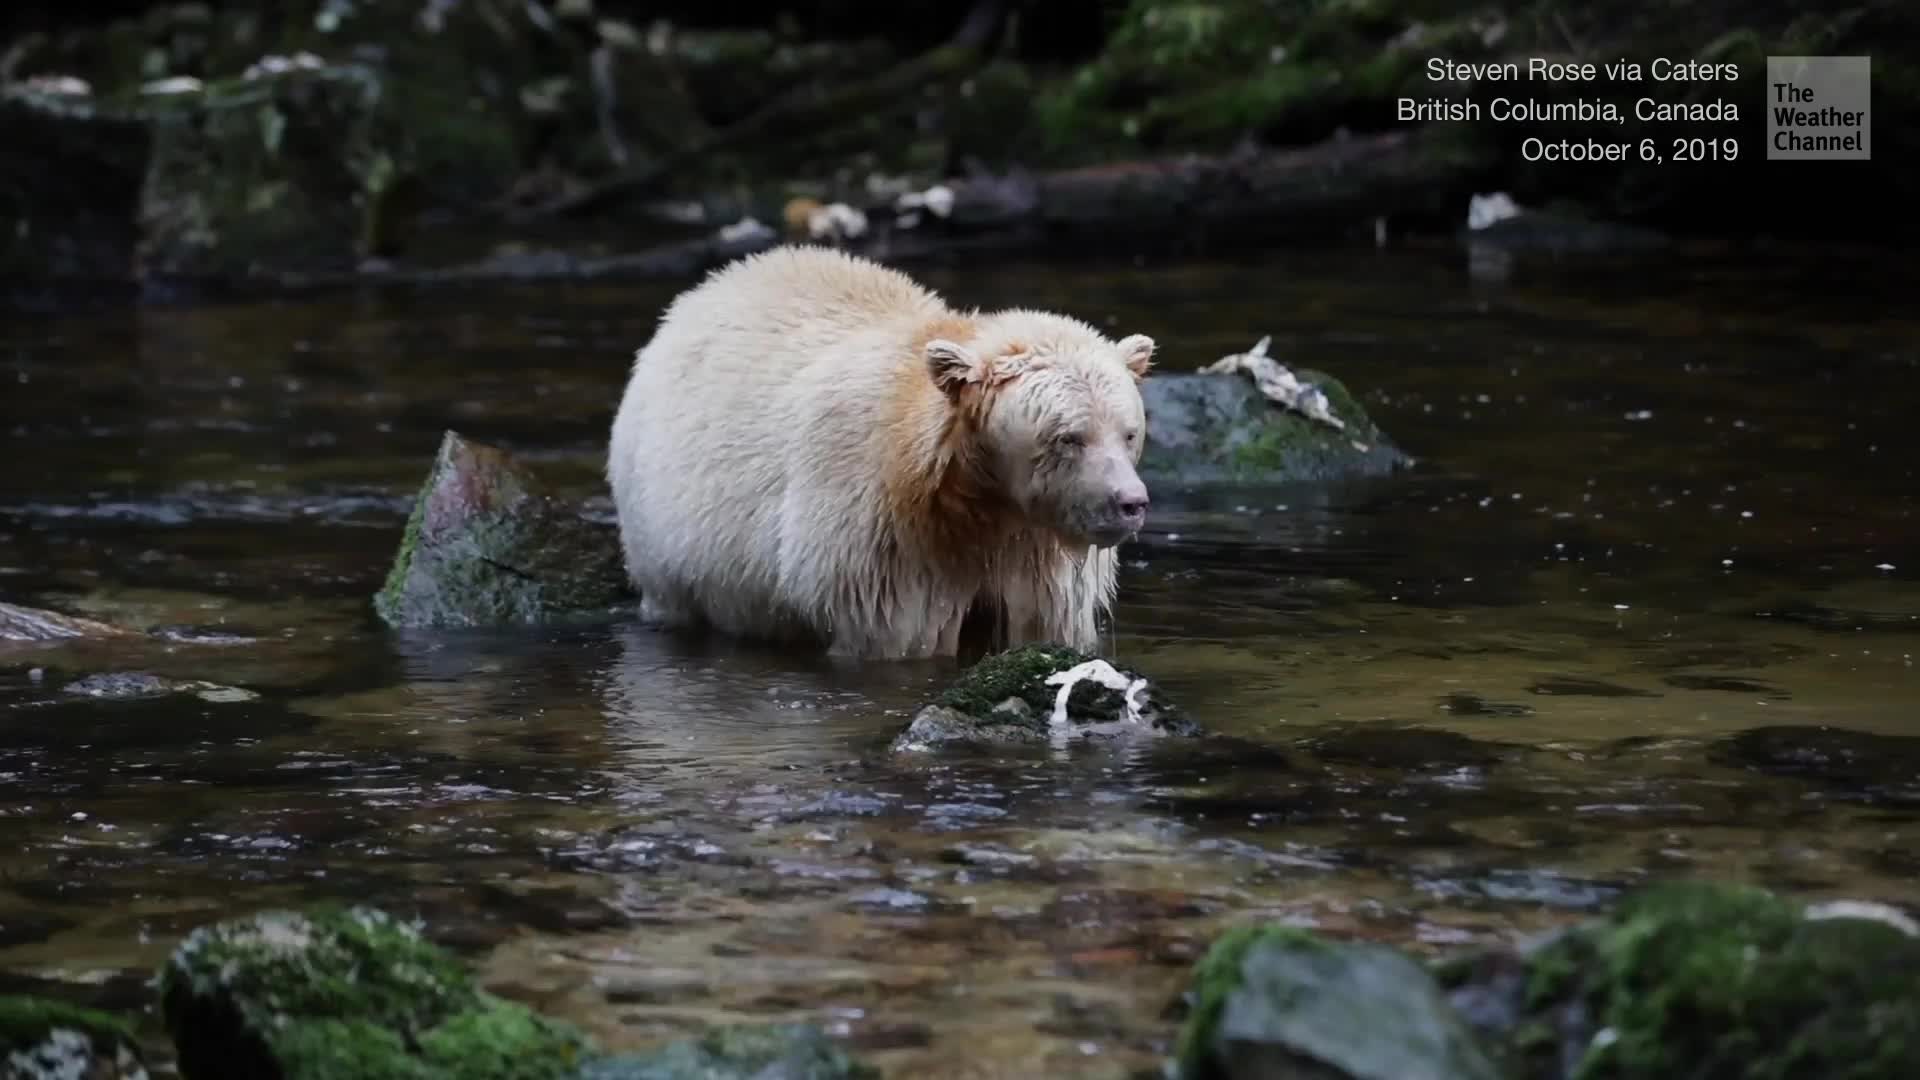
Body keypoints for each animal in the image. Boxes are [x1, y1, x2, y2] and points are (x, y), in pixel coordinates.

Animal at [605, 244, 1155, 660]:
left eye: (1128, 433)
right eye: (1070, 437)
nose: (1130, 503)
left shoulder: (1033, 553)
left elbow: (1039, 622)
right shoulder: (880, 544)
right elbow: (899, 631)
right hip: (660, 525)